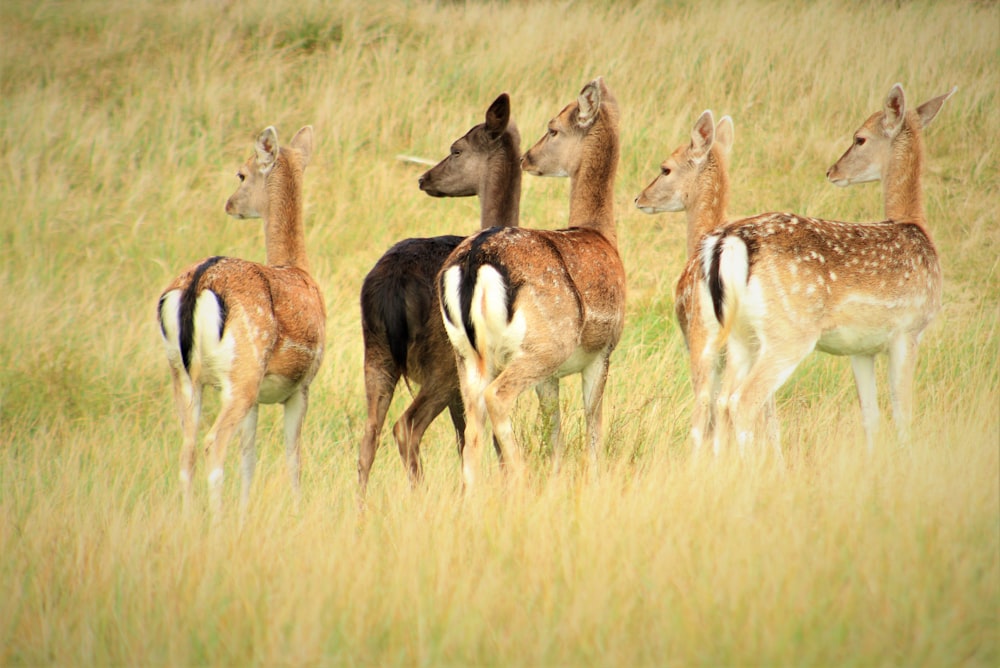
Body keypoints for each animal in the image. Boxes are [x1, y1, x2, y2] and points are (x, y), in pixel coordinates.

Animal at [157, 124, 324, 516]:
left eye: (241, 174)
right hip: (241, 371)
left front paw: (246, 512)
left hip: (183, 374)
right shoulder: (302, 385)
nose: (230, 204)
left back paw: (188, 519)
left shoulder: (261, 396)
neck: (297, 267)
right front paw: (297, 510)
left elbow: (250, 456)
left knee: (187, 449)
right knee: (213, 444)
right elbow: (293, 456)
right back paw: (216, 520)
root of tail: (199, 281)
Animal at [360, 91, 564, 494]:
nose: (424, 177)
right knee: (406, 426)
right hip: (442, 362)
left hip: (376, 353)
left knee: (369, 438)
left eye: (456, 149)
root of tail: (391, 287)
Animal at [440, 75, 624, 488]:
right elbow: (592, 423)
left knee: (471, 425)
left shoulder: (552, 376)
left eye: (553, 129)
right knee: (497, 398)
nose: (530, 158)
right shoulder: (602, 351)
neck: (603, 236)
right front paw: (594, 480)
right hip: (543, 346)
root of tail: (475, 259)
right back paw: (521, 477)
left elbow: (554, 426)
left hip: (466, 354)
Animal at [700, 83, 956, 452]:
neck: (915, 225)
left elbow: (871, 416)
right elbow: (903, 415)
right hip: (789, 332)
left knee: (722, 400)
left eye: (860, 138)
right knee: (744, 401)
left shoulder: (861, 348)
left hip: (739, 333)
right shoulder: (908, 330)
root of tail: (730, 242)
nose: (832, 171)